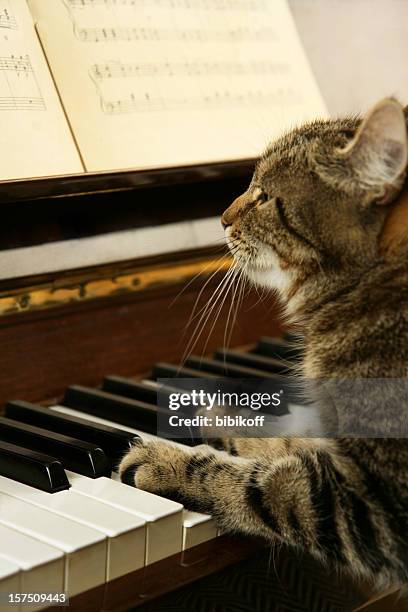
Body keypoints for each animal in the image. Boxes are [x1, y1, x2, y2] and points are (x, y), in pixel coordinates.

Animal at [118, 97, 408, 588]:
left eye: (264, 197)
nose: (221, 218)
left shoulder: (373, 504)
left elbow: (262, 486)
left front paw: (170, 462)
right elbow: (288, 440)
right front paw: (221, 419)